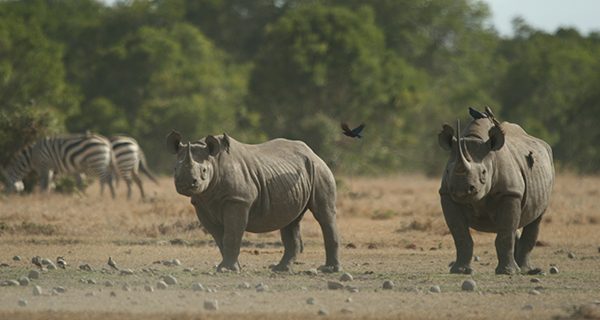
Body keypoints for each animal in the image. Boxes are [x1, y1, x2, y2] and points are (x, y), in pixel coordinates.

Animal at [166, 131, 342, 274]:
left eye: (204, 171)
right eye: (174, 169)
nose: (185, 183)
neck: (214, 162)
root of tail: (313, 152)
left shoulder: (238, 200)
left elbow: (231, 234)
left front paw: (226, 269)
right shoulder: (201, 203)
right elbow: (219, 237)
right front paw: (232, 267)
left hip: (319, 169)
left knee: (324, 214)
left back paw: (329, 269)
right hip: (294, 176)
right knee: (290, 221)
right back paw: (281, 269)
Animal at [438, 107, 556, 276]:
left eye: (484, 173)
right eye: (447, 171)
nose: (461, 190)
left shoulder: (510, 193)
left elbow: (505, 234)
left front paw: (507, 272)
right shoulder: (447, 195)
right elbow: (460, 235)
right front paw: (460, 271)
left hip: (547, 169)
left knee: (536, 218)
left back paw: (526, 270)